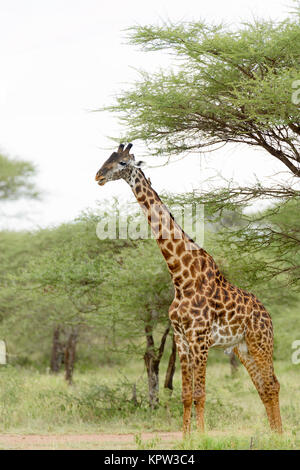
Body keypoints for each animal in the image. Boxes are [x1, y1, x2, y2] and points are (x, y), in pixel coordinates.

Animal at [95, 142, 282, 434]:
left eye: (123, 162)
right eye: (108, 158)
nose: (98, 176)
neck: (181, 277)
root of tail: (268, 315)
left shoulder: (200, 338)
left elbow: (200, 394)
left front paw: (203, 437)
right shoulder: (182, 339)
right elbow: (184, 394)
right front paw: (186, 438)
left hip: (260, 341)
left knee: (272, 385)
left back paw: (281, 437)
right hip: (242, 348)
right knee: (263, 387)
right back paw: (274, 436)